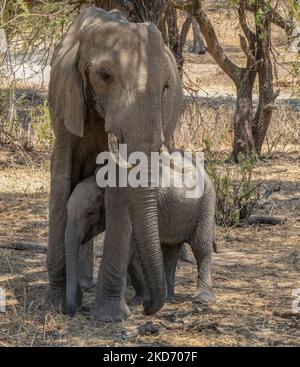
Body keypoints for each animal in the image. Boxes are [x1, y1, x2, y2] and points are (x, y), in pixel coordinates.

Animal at [46, 6, 183, 322]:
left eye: (166, 87)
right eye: (104, 75)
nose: (149, 307)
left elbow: (120, 191)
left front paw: (108, 316)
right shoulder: (66, 99)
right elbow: (62, 178)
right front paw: (56, 303)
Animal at [65, 157, 217, 316]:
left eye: (90, 213)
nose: (73, 310)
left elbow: (132, 251)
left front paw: (142, 300)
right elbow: (131, 254)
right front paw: (140, 299)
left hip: (206, 202)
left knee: (200, 246)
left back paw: (202, 299)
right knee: (171, 250)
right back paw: (169, 298)